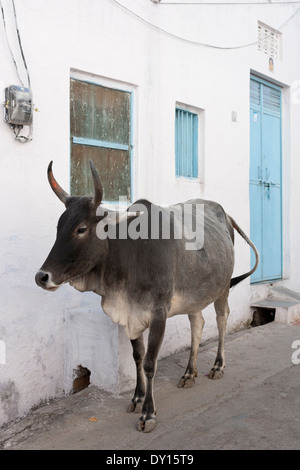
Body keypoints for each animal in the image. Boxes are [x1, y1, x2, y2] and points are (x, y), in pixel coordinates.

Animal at [35, 162, 258, 434]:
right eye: (59, 227)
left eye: (81, 229)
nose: (42, 277)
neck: (130, 253)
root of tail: (223, 214)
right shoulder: (131, 314)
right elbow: (138, 358)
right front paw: (137, 397)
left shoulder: (158, 313)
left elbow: (151, 362)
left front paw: (148, 413)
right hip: (195, 294)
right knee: (197, 324)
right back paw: (189, 374)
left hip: (223, 287)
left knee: (222, 319)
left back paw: (217, 366)